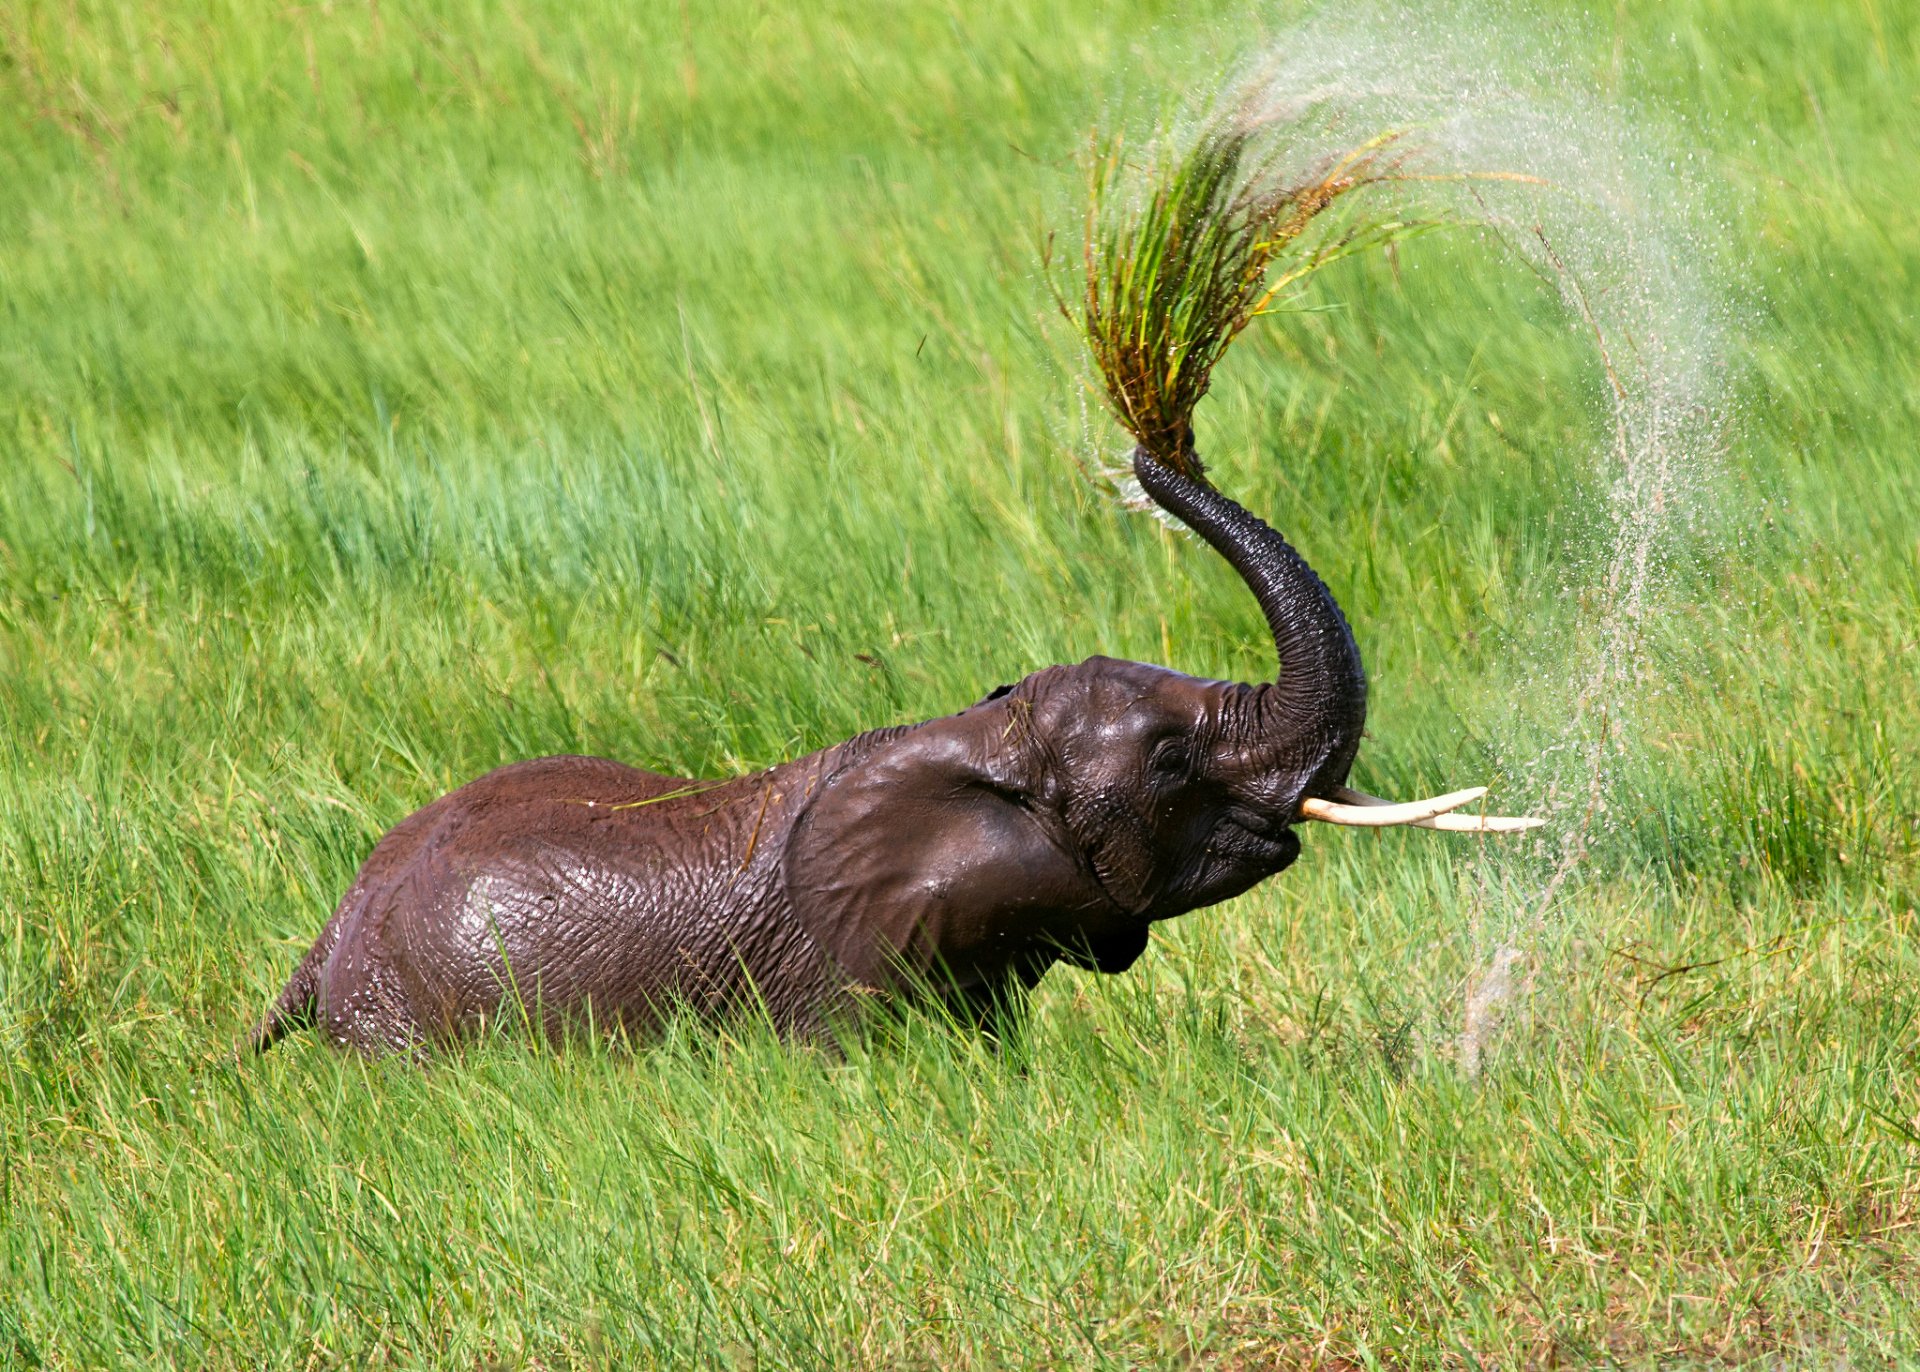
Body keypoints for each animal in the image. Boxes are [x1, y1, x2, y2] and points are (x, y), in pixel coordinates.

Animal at [250, 447, 1534, 1055]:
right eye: (1170, 763)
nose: (1151, 453)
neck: (971, 732)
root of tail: (330, 930)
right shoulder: (841, 967)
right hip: (406, 1017)